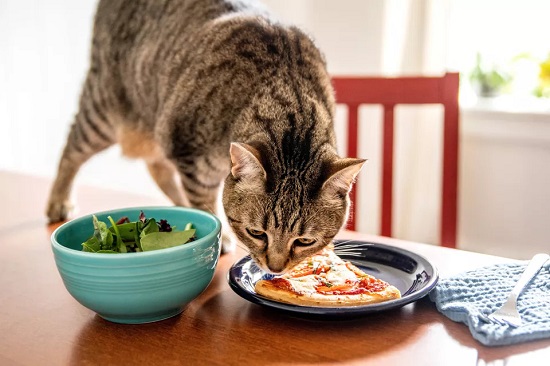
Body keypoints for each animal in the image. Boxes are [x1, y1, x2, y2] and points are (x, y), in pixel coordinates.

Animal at [46, 0, 366, 274]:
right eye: (256, 233)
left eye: (304, 241)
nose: (275, 269)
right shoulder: (193, 159)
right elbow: (204, 205)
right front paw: (220, 237)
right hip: (105, 111)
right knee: (72, 148)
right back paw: (58, 201)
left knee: (158, 168)